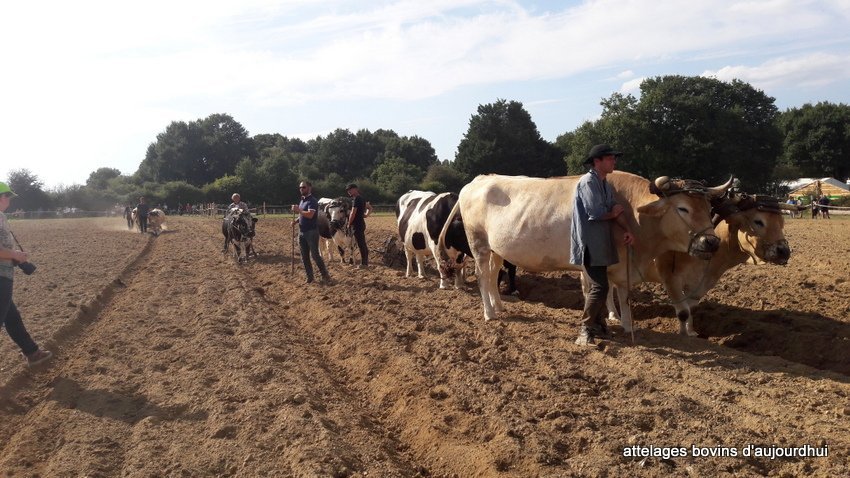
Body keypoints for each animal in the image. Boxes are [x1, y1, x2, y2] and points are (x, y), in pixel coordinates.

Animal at [439, 172, 732, 330]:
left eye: (709, 208)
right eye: (682, 208)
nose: (711, 242)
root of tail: (479, 179)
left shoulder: (620, 268)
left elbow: (618, 295)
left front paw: (621, 323)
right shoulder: (595, 265)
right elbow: (600, 294)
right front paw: (603, 324)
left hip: (497, 249)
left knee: (492, 275)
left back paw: (499, 306)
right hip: (478, 245)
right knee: (481, 277)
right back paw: (489, 313)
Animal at [607, 191, 800, 336]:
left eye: (781, 222)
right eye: (758, 221)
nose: (784, 250)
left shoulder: (701, 284)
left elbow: (690, 309)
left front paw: (691, 332)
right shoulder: (671, 278)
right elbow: (683, 311)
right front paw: (682, 334)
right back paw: (614, 316)